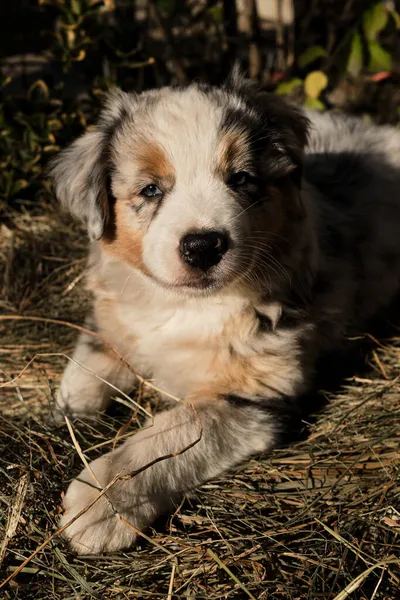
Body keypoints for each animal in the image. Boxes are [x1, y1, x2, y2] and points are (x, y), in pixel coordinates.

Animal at [50, 69, 400, 552]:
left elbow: (170, 435)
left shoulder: (254, 394)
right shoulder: (116, 303)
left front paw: (101, 503)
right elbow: (97, 345)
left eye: (241, 179)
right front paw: (73, 405)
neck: (187, 305)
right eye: (151, 189)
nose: (202, 245)